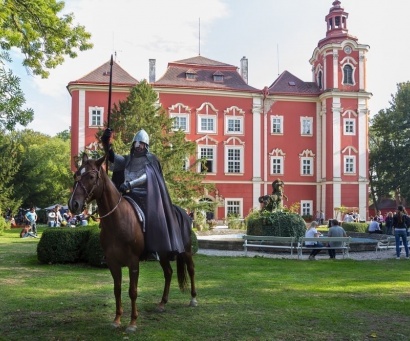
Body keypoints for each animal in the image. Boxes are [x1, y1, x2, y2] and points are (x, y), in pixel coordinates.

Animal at [68, 153, 198, 332]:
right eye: (76, 175)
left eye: (92, 177)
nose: (73, 204)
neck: (118, 220)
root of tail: (184, 213)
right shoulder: (113, 262)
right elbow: (117, 290)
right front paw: (117, 319)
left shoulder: (133, 262)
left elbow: (133, 291)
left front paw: (132, 322)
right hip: (163, 253)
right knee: (168, 273)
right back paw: (162, 303)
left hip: (185, 250)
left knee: (191, 269)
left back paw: (193, 299)